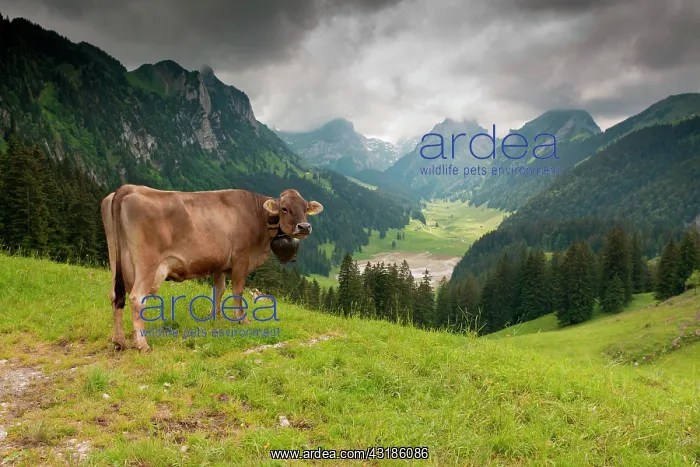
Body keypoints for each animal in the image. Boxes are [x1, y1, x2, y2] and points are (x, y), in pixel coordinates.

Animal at [101, 184, 323, 352]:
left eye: (305, 208)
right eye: (285, 208)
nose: (304, 227)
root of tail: (128, 188)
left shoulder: (219, 264)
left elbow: (219, 290)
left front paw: (215, 319)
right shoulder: (241, 258)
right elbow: (237, 291)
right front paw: (241, 320)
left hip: (115, 259)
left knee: (115, 295)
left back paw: (119, 341)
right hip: (147, 263)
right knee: (136, 298)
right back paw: (142, 344)